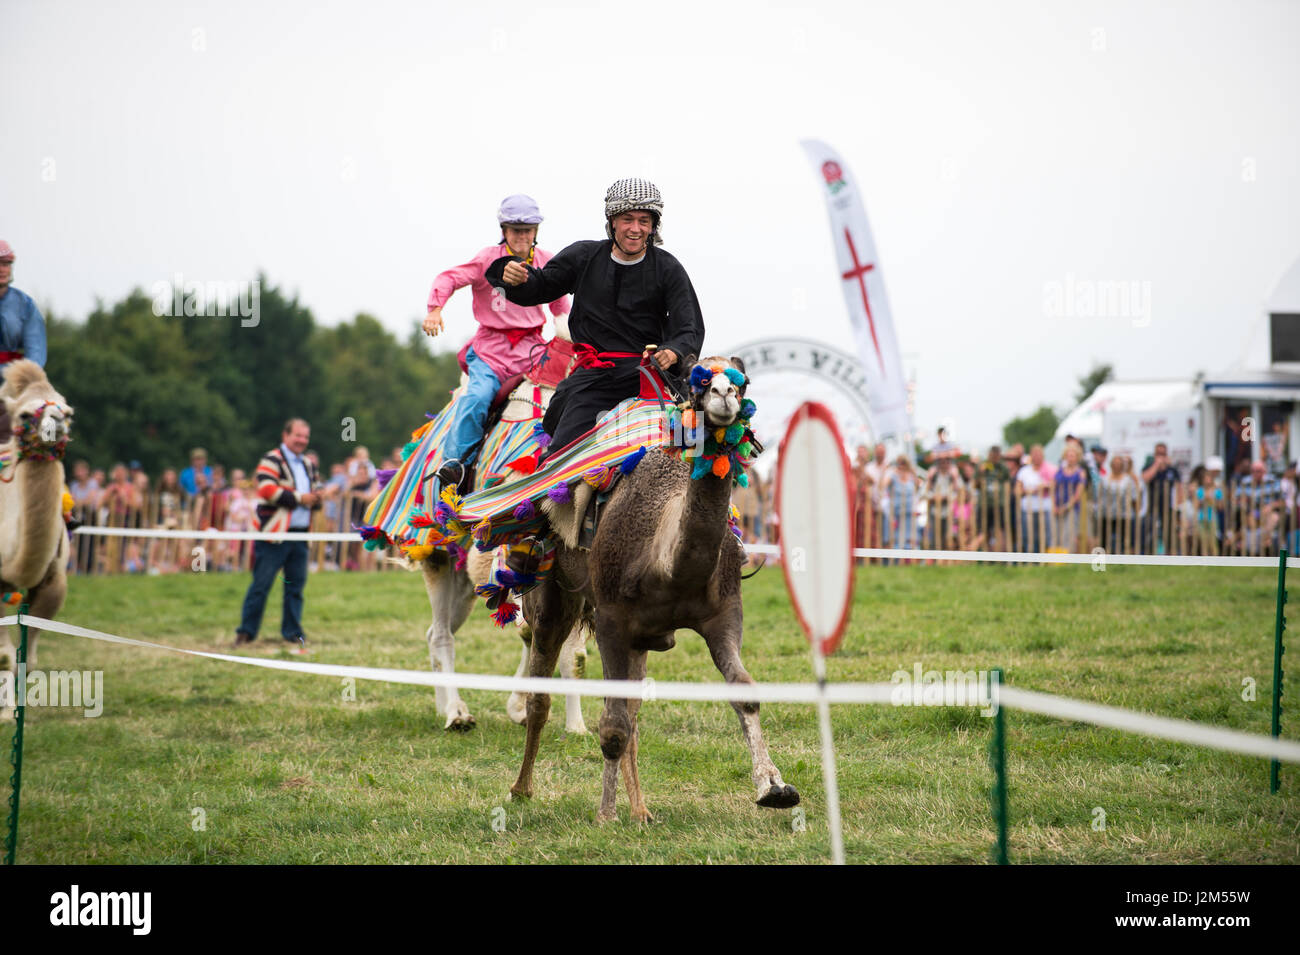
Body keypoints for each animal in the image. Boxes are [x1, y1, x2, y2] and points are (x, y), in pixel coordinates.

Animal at [509, 358, 795, 821]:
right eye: (699, 382)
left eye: (743, 382)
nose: (723, 397)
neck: (666, 564)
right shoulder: (611, 620)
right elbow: (611, 725)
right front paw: (605, 815)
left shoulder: (722, 615)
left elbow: (745, 691)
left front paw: (774, 786)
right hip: (552, 599)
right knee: (543, 693)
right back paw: (522, 788)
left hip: (640, 638)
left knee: (633, 714)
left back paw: (641, 810)